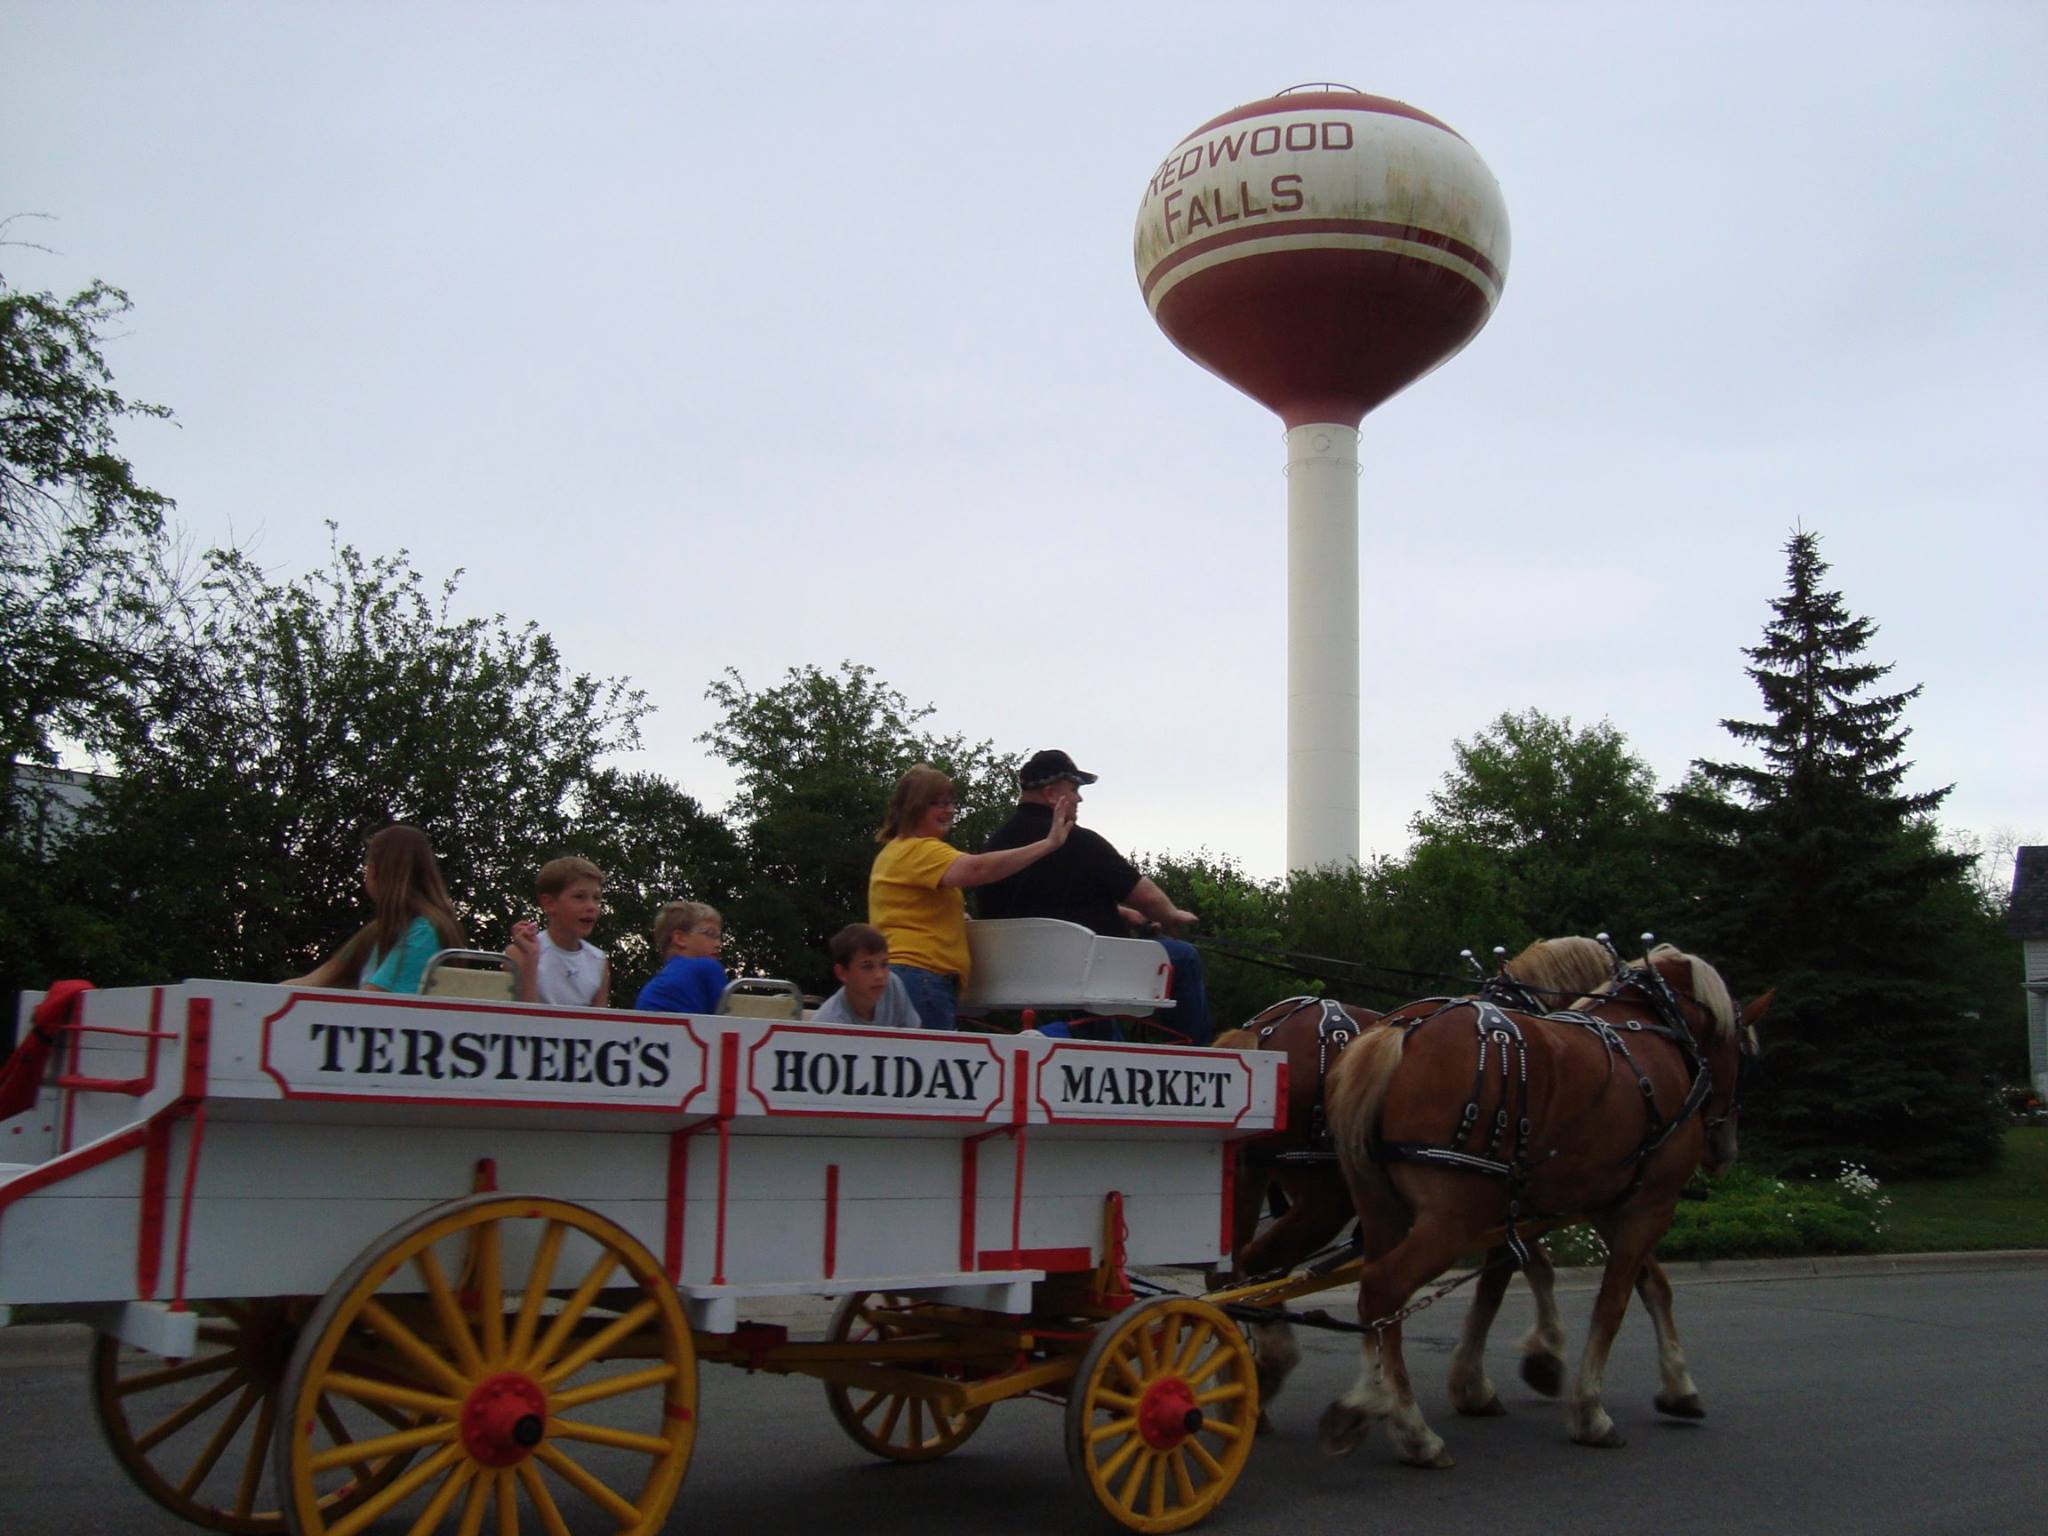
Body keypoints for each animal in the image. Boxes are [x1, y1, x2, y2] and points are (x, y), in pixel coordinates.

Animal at [1318, 946, 1769, 1474]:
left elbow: (1640, 1285)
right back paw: (1409, 1428)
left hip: (1382, 1209)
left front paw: (1676, 1386)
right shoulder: (1648, 1205)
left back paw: (1374, 1402)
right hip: (1453, 1218)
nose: (1724, 1149)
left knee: (1377, 1300)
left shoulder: (1600, 1201)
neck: (1655, 1029)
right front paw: (1587, 1408)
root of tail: (1399, 1031)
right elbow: (1610, 1303)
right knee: (1383, 1289)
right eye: (1747, 1054)